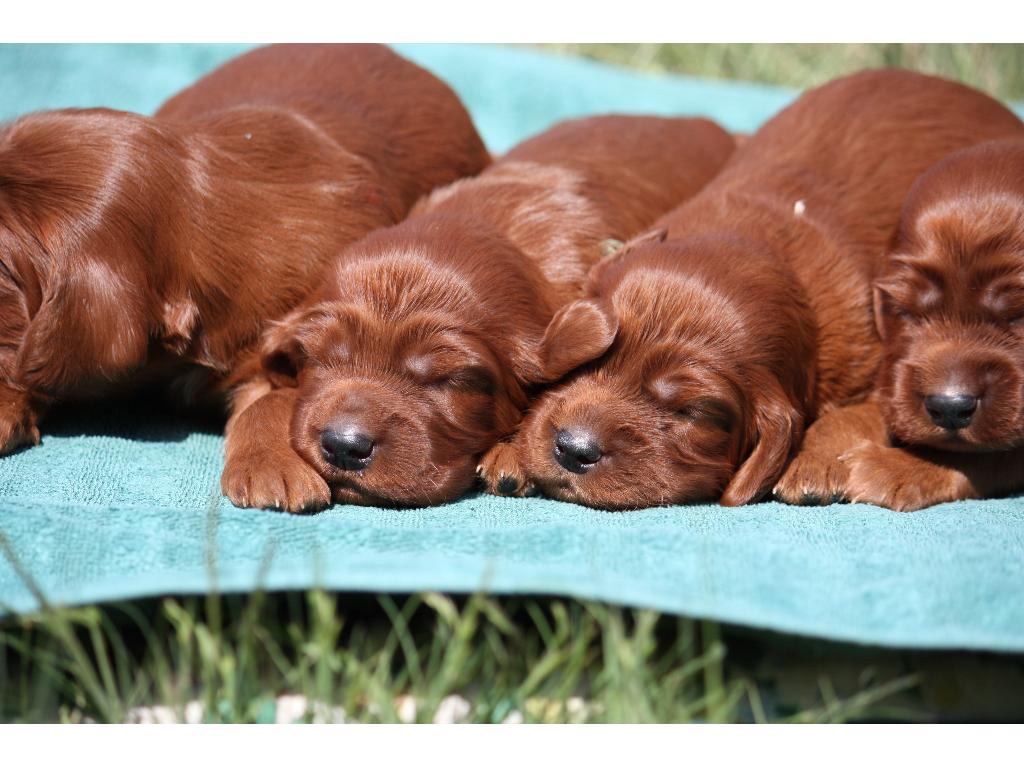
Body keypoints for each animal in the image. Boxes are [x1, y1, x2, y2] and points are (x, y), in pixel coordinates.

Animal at [224, 115, 737, 512]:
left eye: (451, 381)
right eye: (319, 359)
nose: (344, 446)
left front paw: (510, 456)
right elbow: (266, 392)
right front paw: (268, 463)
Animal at [770, 138, 1024, 512]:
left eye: (1019, 314)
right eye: (907, 311)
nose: (949, 407)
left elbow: (990, 454)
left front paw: (890, 468)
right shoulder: (894, 376)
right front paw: (816, 458)